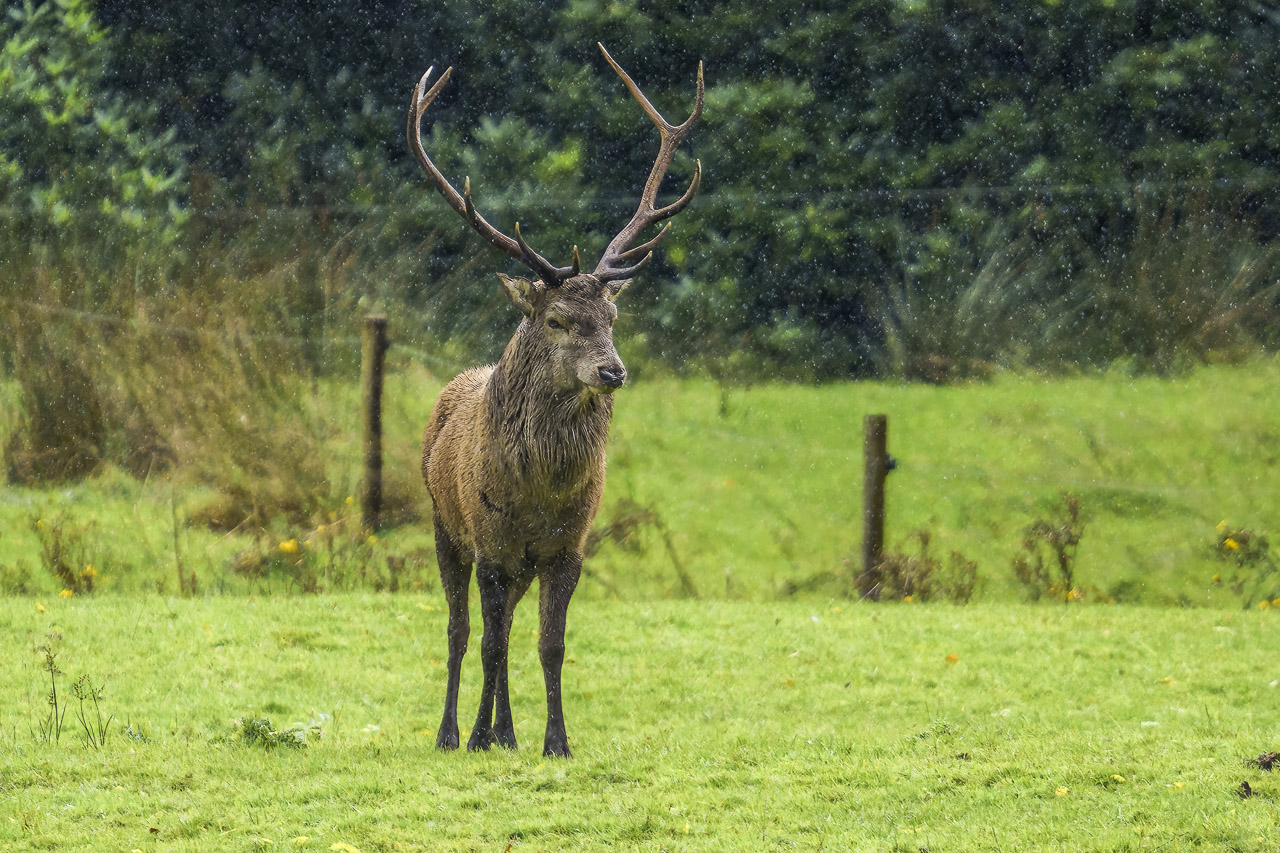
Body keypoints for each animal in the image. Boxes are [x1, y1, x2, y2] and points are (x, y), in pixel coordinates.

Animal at [408, 44, 703, 757]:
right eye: (558, 320)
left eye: (612, 317)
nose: (612, 371)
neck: (537, 494)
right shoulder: (491, 544)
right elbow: (488, 644)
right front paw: (480, 736)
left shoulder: (568, 549)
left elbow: (550, 646)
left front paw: (554, 742)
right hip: (444, 526)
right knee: (462, 632)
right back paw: (454, 730)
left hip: (518, 562)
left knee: (510, 630)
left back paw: (504, 730)